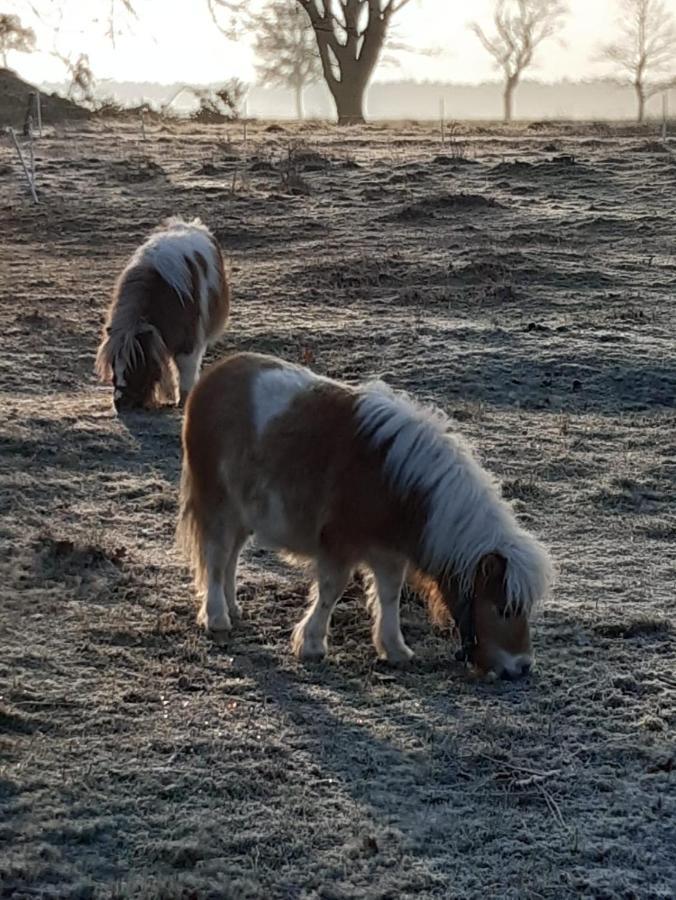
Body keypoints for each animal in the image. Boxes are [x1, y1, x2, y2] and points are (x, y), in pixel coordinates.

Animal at [94, 216, 230, 414]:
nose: (120, 403)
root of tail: (190, 225)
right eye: (113, 365)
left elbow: (186, 372)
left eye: (137, 364)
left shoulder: (188, 343)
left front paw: (183, 402)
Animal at [180, 352, 556, 684]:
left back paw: (232, 608)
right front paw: (311, 644)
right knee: (216, 558)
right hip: (218, 504)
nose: (522, 666)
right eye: (502, 609)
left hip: (243, 514)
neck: (397, 483)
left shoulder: (389, 554)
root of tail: (212, 377)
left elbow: (389, 596)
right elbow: (331, 591)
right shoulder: (339, 545)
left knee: (230, 558)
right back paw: (217, 617)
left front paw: (395, 649)